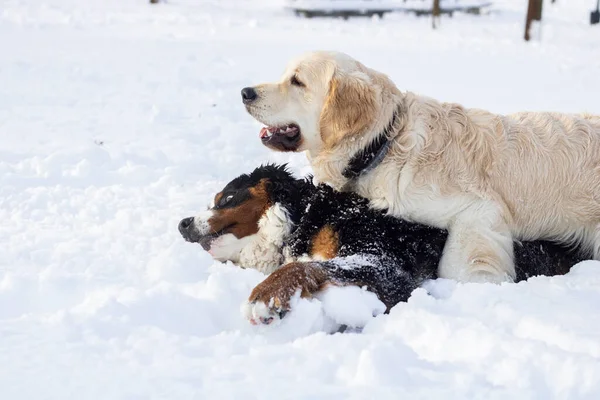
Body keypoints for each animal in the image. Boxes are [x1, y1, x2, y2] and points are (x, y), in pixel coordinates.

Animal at [178, 164, 584, 326]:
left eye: (226, 197)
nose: (182, 223)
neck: (308, 215)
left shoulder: (381, 261)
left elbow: (303, 264)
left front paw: (266, 296)